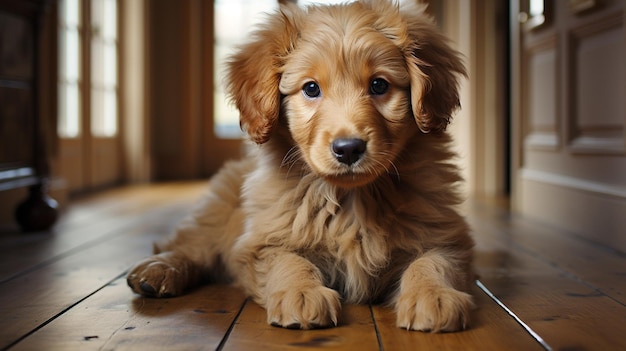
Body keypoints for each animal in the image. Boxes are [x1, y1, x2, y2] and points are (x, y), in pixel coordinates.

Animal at [128, 0, 472, 334]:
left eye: (378, 85)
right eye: (310, 89)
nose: (348, 149)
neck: (352, 199)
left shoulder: (445, 236)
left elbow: (433, 262)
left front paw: (433, 295)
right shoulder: (262, 241)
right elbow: (289, 261)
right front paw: (301, 293)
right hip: (218, 208)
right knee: (190, 244)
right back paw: (157, 270)